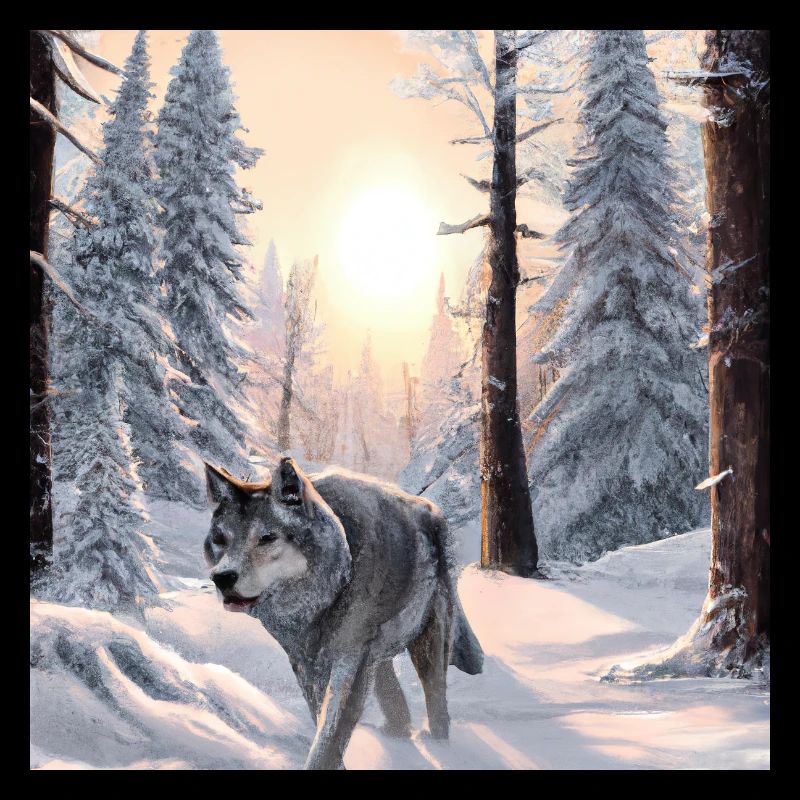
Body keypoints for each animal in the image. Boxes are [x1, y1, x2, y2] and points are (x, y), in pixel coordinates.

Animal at [203, 456, 484, 770]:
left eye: (266, 537)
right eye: (220, 540)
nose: (222, 578)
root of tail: (432, 509)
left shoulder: (350, 660)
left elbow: (331, 734)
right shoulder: (305, 665)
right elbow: (322, 723)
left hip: (427, 645)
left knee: (437, 705)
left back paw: (441, 749)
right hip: (376, 653)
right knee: (391, 690)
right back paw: (396, 732)